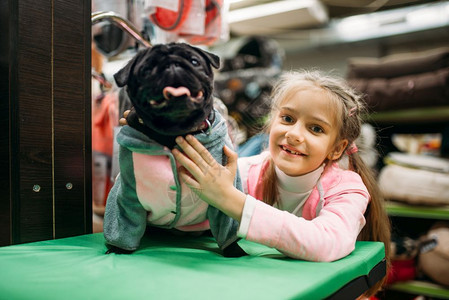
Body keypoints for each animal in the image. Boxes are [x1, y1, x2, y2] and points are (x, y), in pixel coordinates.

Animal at [103, 42, 247, 258]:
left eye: (194, 61)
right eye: (146, 70)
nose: (172, 65)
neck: (173, 134)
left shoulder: (223, 197)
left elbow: (227, 226)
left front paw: (235, 251)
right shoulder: (128, 196)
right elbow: (124, 224)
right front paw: (117, 249)